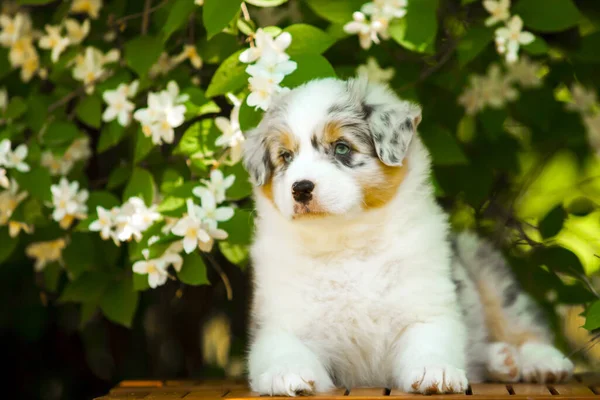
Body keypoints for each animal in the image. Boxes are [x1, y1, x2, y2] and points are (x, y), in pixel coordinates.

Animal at [241, 76, 576, 396]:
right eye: (286, 156)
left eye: (342, 148)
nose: (301, 188)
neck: (345, 241)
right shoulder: (280, 321)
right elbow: (281, 348)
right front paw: (286, 374)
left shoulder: (427, 307)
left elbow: (429, 341)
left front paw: (436, 372)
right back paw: (501, 360)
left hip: (483, 265)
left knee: (520, 321)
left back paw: (542, 362)